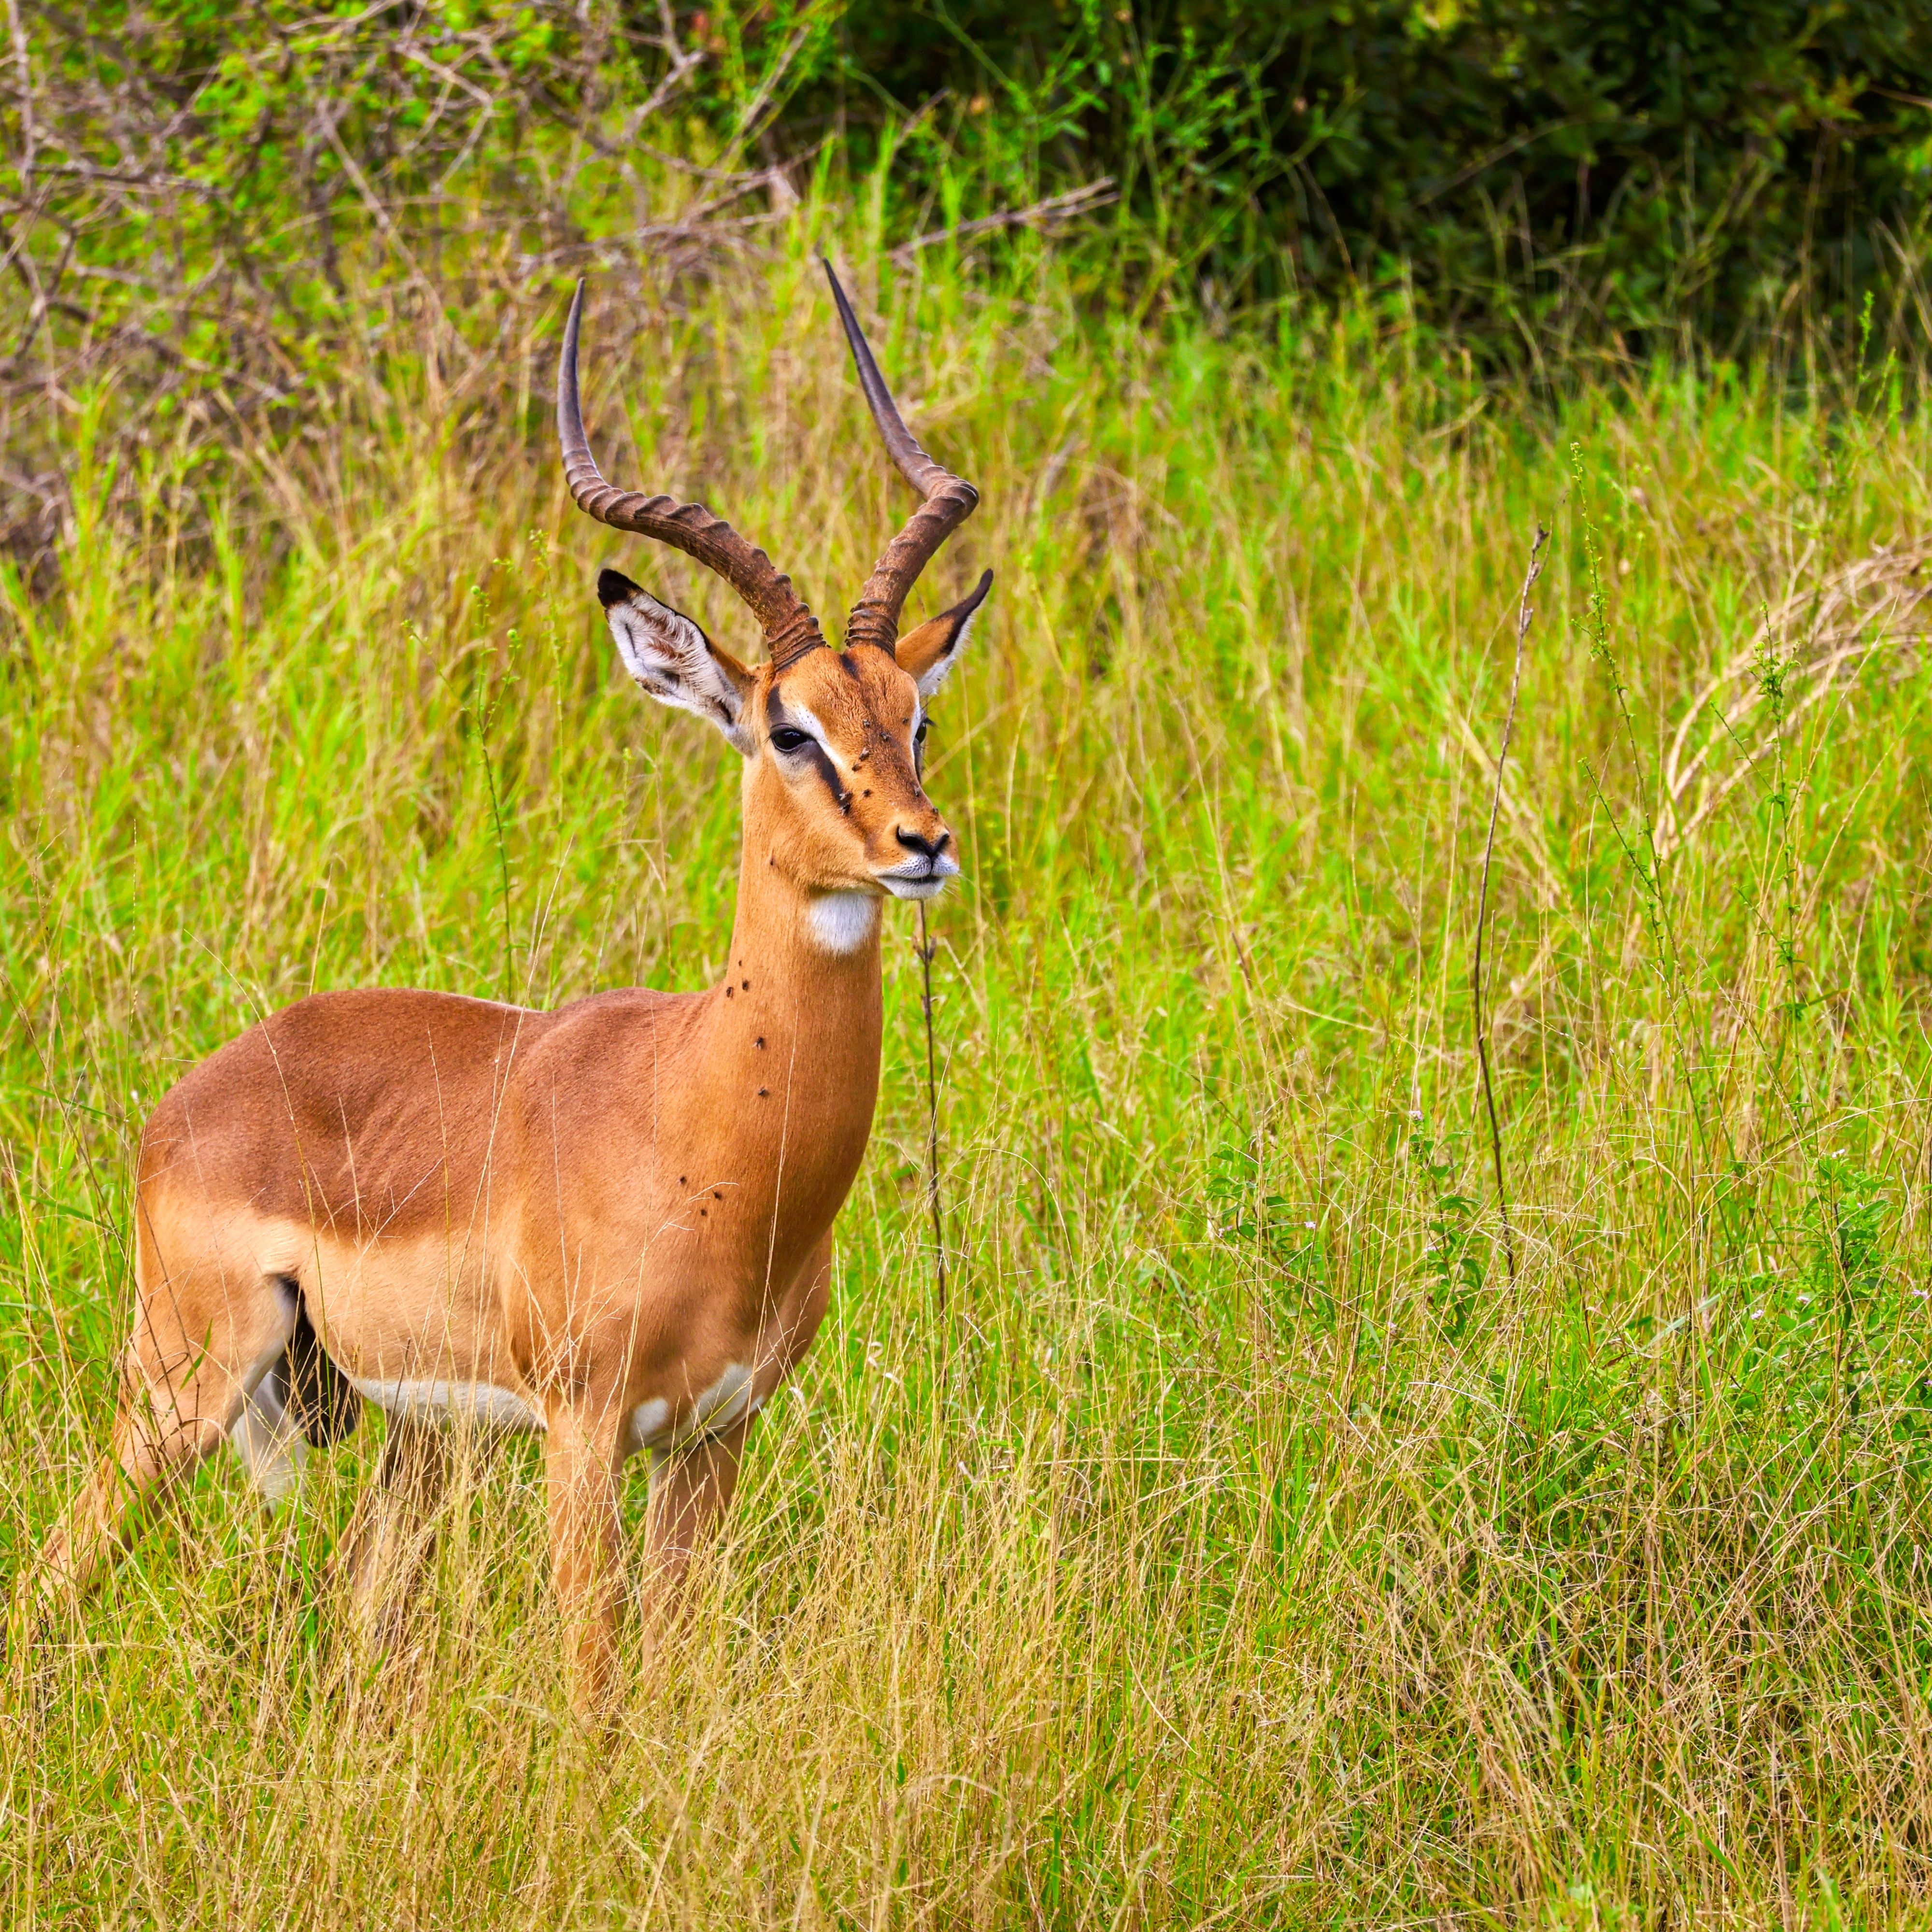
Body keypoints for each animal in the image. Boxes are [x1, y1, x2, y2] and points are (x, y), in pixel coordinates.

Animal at [30, 264, 991, 1706]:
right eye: (791, 730)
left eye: (912, 716)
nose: (919, 844)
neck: (708, 1124)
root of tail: (195, 1093)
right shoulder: (583, 1432)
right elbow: (594, 1681)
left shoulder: (714, 1438)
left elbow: (672, 1669)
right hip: (188, 1383)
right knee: (51, 1573)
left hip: (407, 1429)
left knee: (359, 1609)